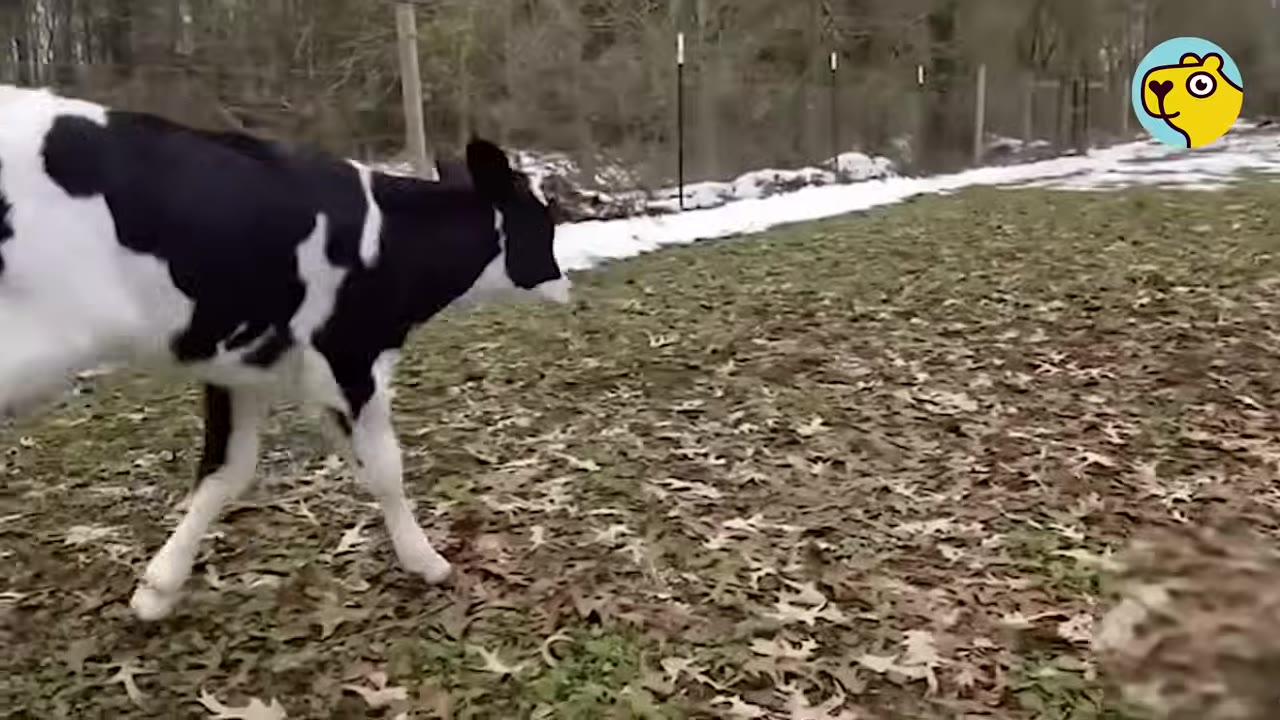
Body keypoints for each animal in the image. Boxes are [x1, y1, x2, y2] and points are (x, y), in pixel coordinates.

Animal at [0, 84, 573, 621]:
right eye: (542, 221)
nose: (564, 283)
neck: (395, 244)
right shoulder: (349, 357)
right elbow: (385, 467)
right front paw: (427, 562)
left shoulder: (245, 365)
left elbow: (225, 471)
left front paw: (157, 590)